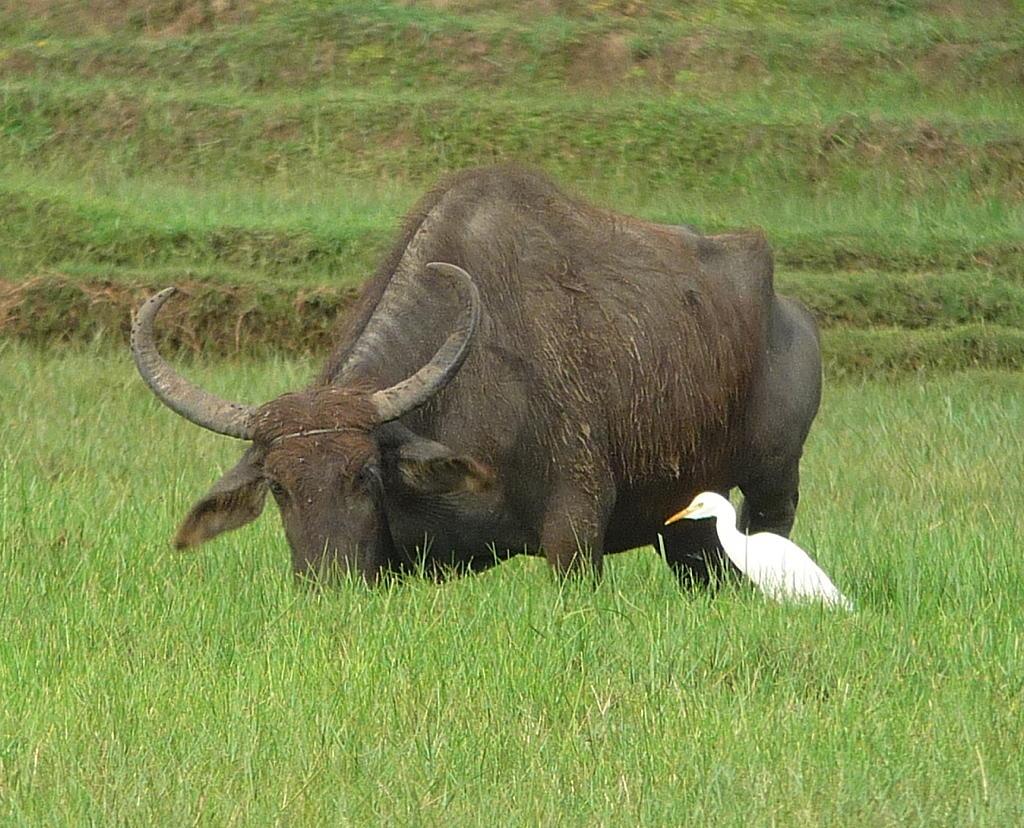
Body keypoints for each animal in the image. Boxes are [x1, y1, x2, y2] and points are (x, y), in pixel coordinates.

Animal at [132, 166, 821, 585]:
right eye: (278, 486)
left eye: (364, 474)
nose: (326, 584)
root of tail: (792, 316)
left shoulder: (575, 527)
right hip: (686, 517)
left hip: (773, 485)